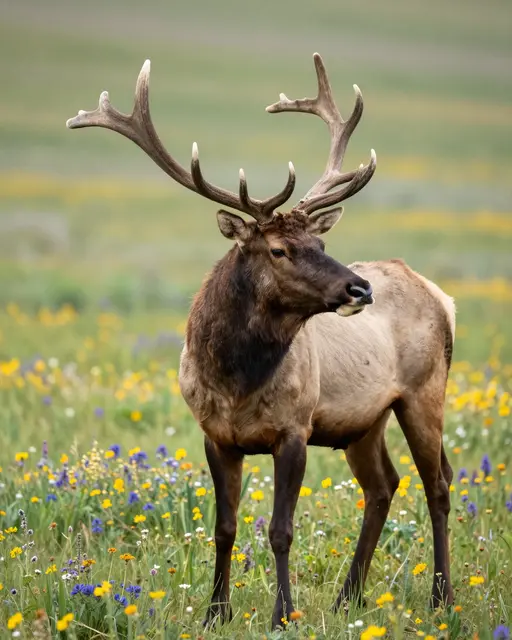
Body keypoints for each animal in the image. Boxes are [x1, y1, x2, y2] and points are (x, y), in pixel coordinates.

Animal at [67, 53, 456, 630]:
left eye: (321, 243)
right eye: (278, 249)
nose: (359, 288)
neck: (237, 380)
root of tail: (442, 296)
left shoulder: (294, 428)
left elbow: (280, 531)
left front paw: (282, 615)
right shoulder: (215, 435)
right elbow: (224, 528)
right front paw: (215, 613)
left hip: (424, 392)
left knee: (439, 485)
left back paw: (441, 597)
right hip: (364, 421)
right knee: (383, 486)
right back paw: (348, 598)